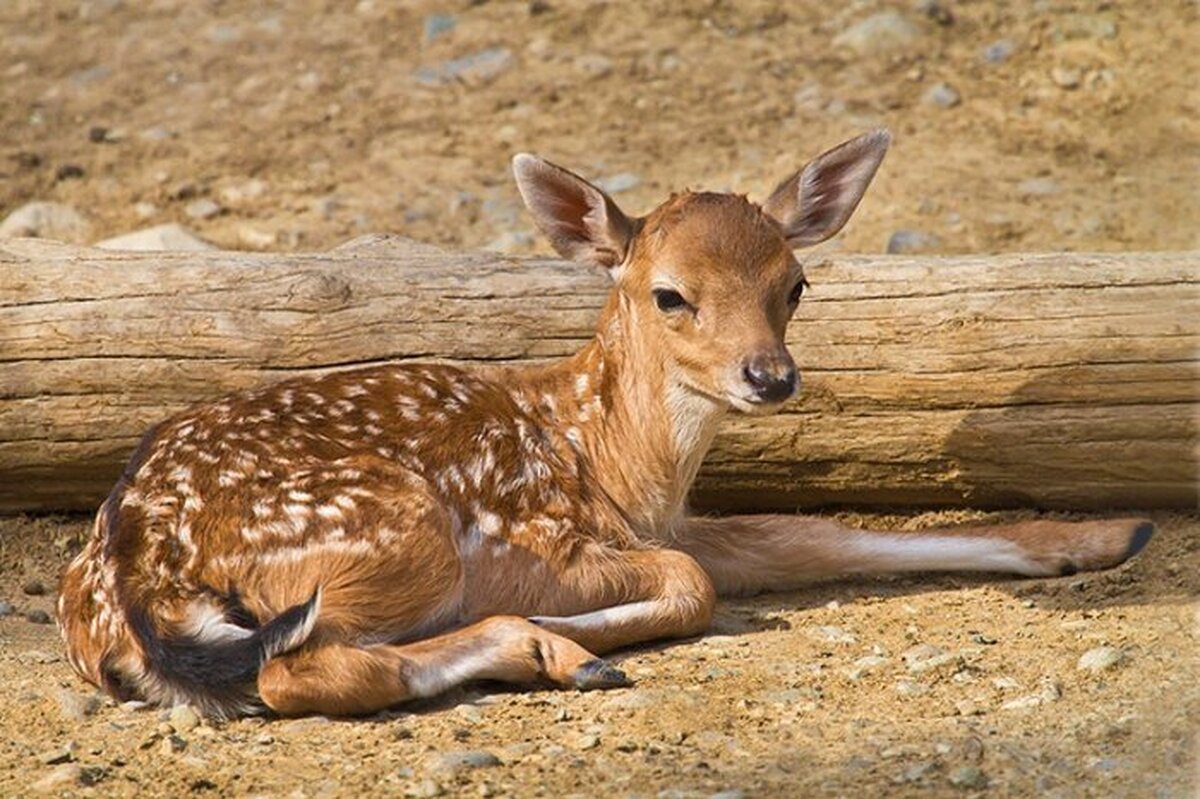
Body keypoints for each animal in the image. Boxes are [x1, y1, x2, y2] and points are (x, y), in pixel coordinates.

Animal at [58, 130, 1152, 715]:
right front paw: (571, 630)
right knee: (296, 671)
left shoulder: (671, 523)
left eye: (795, 284)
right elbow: (694, 583)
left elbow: (818, 533)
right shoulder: (546, 538)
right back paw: (555, 651)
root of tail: (132, 579)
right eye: (669, 294)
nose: (771, 376)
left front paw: (1106, 534)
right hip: (398, 529)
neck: (614, 461)